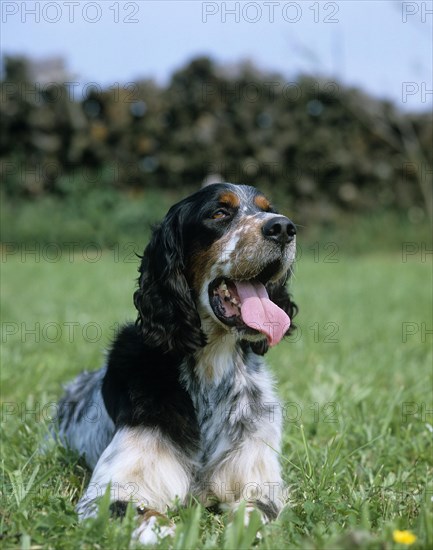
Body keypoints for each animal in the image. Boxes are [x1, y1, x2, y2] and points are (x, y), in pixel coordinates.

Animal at [54, 183, 296, 544]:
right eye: (219, 213)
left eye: (269, 210)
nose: (283, 227)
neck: (211, 367)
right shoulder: (107, 495)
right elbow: (154, 521)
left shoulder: (259, 480)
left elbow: (253, 513)